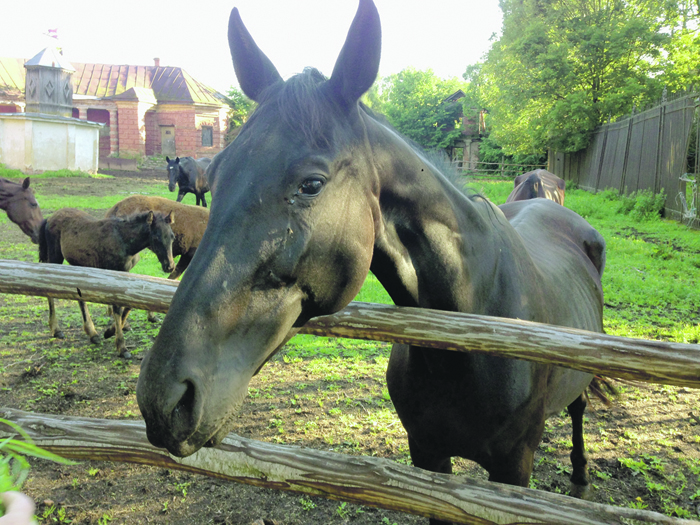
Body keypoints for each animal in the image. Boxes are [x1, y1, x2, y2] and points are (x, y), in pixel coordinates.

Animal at [39, 207, 175, 358]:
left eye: (172, 236)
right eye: (156, 238)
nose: (169, 266)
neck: (125, 242)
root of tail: (50, 218)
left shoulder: (125, 272)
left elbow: (127, 304)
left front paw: (110, 331)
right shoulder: (114, 271)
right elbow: (117, 307)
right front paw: (121, 346)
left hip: (78, 263)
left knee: (79, 295)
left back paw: (92, 333)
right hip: (55, 256)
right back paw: (57, 329)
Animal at [138, 2, 608, 520]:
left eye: (311, 184)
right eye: (217, 173)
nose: (164, 399)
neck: (473, 321)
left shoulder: (513, 470)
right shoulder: (428, 456)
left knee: (581, 409)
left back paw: (582, 479)